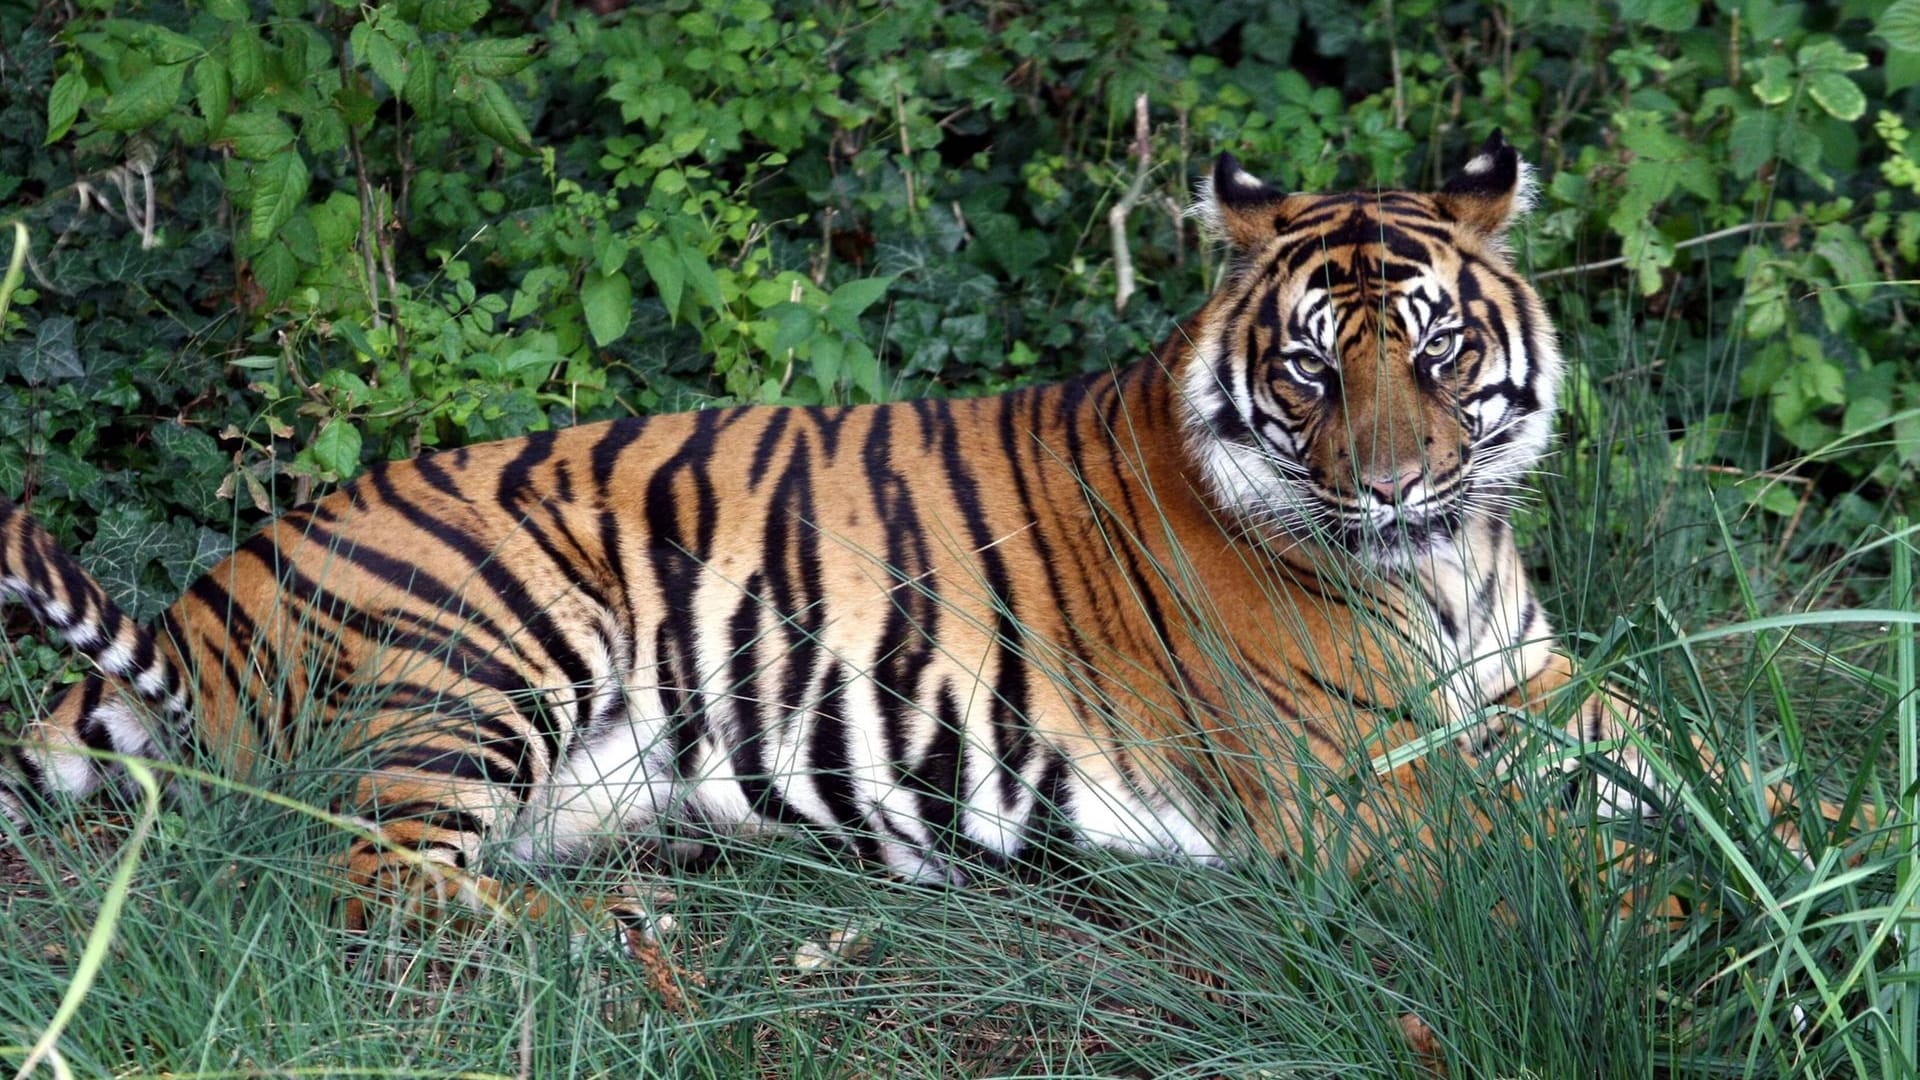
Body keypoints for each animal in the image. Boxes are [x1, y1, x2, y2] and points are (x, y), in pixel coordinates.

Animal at [3, 134, 1681, 949]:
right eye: (1315, 372)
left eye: (1438, 355)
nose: (1395, 490)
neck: (1446, 571)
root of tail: (220, 589)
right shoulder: (1351, 787)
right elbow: (1569, 862)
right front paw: (1708, 934)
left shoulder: (1529, 682)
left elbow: (1678, 747)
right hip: (492, 647)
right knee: (366, 879)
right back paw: (611, 934)